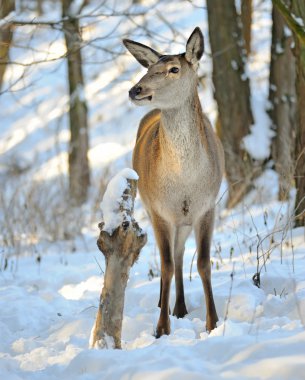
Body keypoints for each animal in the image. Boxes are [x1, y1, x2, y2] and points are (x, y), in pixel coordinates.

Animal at [122, 27, 224, 338]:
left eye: (173, 69)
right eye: (148, 68)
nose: (136, 90)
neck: (185, 182)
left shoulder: (207, 207)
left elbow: (203, 263)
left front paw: (213, 322)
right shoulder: (159, 210)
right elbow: (165, 265)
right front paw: (161, 328)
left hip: (185, 219)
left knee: (180, 255)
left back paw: (179, 307)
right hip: (155, 209)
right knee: (170, 257)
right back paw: (165, 305)